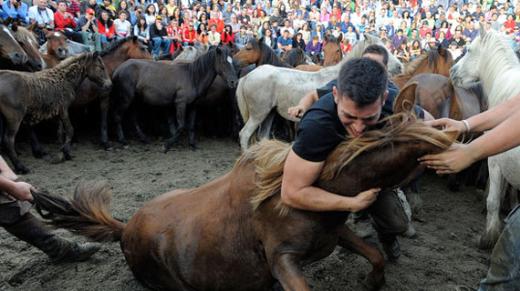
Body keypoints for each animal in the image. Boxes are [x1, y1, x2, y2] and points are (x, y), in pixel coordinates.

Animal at [31, 114, 456, 291]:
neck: (297, 193)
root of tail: (125, 228)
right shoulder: (283, 259)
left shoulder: (334, 234)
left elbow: (375, 255)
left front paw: (372, 281)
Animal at [238, 34, 404, 151]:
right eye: (381, 49)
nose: (400, 67)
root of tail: (247, 76)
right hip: (258, 114)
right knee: (244, 135)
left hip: (269, 113)